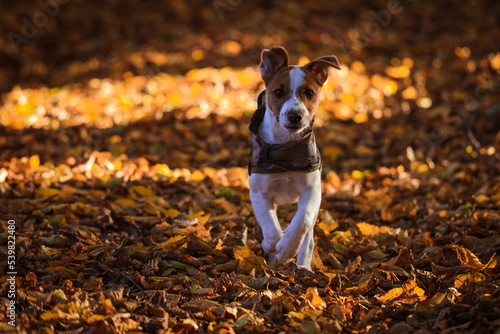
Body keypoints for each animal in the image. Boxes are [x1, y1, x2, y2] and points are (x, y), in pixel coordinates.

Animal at [249, 45, 340, 268]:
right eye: (278, 92)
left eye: (309, 93)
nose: (294, 116)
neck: (286, 149)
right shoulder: (258, 191)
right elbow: (270, 226)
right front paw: (273, 246)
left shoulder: (313, 190)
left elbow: (303, 219)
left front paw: (288, 248)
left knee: (308, 238)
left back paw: (303, 266)